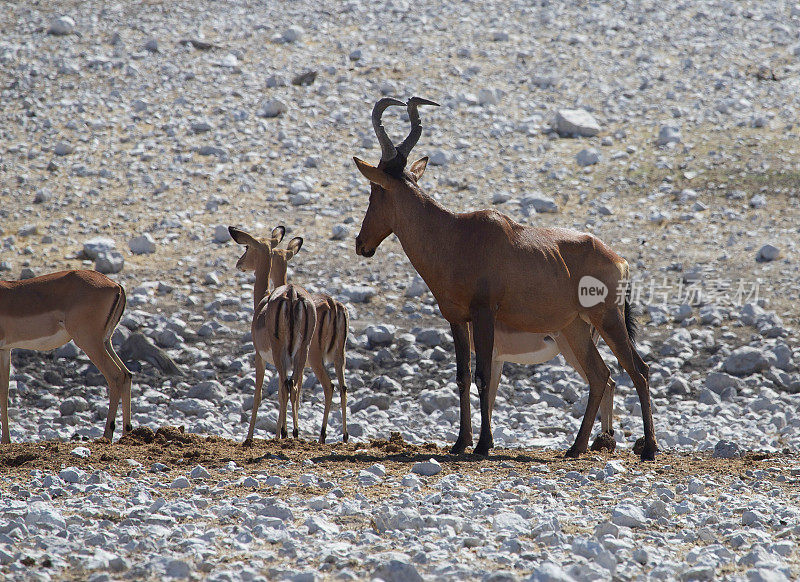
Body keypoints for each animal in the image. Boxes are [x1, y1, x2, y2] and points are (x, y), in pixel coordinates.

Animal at [0, 272, 131, 444]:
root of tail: (115, 285)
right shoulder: (5, 350)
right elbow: (4, 391)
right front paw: (6, 441)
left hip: (89, 342)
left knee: (116, 375)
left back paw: (106, 436)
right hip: (105, 341)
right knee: (127, 374)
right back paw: (127, 435)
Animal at [228, 226, 316, 444]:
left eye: (247, 247)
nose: (239, 264)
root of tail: (293, 294)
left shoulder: (259, 356)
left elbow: (258, 394)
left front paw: (249, 437)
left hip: (279, 353)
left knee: (286, 388)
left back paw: (285, 434)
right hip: (302, 351)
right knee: (294, 388)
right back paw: (294, 433)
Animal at [268, 235, 350, 444]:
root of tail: (332, 304)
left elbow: (287, 391)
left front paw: (283, 433)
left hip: (314, 359)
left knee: (327, 386)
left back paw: (320, 436)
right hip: (339, 356)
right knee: (343, 387)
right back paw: (344, 436)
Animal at [354, 97, 652, 460]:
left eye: (375, 189)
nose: (361, 244)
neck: (456, 234)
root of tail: (619, 260)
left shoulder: (485, 314)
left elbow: (483, 377)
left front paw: (483, 445)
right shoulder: (456, 319)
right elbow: (463, 376)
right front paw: (460, 443)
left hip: (606, 317)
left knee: (637, 369)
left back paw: (649, 449)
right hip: (575, 327)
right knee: (600, 375)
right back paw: (575, 447)